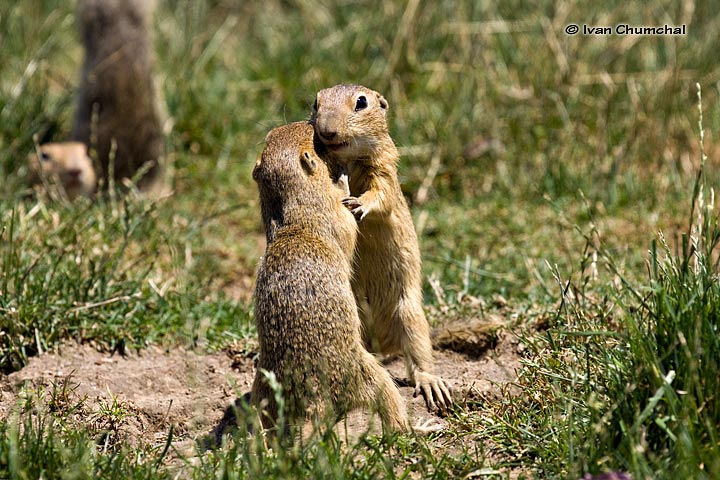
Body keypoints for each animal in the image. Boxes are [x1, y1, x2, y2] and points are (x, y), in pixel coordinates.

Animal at [252, 121, 410, 436]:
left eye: (272, 135)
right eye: (310, 138)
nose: (311, 123)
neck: (290, 220)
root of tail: (312, 398)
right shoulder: (336, 215)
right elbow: (348, 225)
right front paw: (343, 179)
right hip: (369, 372)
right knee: (389, 404)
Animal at [310, 83, 450, 412]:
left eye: (361, 103)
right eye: (315, 103)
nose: (327, 131)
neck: (348, 159)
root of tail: (382, 342)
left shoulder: (384, 168)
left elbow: (380, 195)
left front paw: (358, 203)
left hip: (410, 314)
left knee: (418, 354)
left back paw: (431, 384)